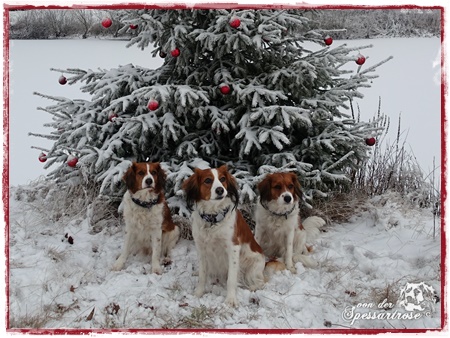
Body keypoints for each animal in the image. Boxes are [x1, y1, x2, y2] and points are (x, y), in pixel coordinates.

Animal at [182, 165, 268, 308]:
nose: (220, 190)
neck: (213, 218)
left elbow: (231, 279)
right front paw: (198, 293)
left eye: (222, 179)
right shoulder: (201, 248)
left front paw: (231, 300)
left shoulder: (233, 248)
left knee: (261, 282)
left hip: (253, 267)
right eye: (207, 180)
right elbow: (202, 275)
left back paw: (251, 288)